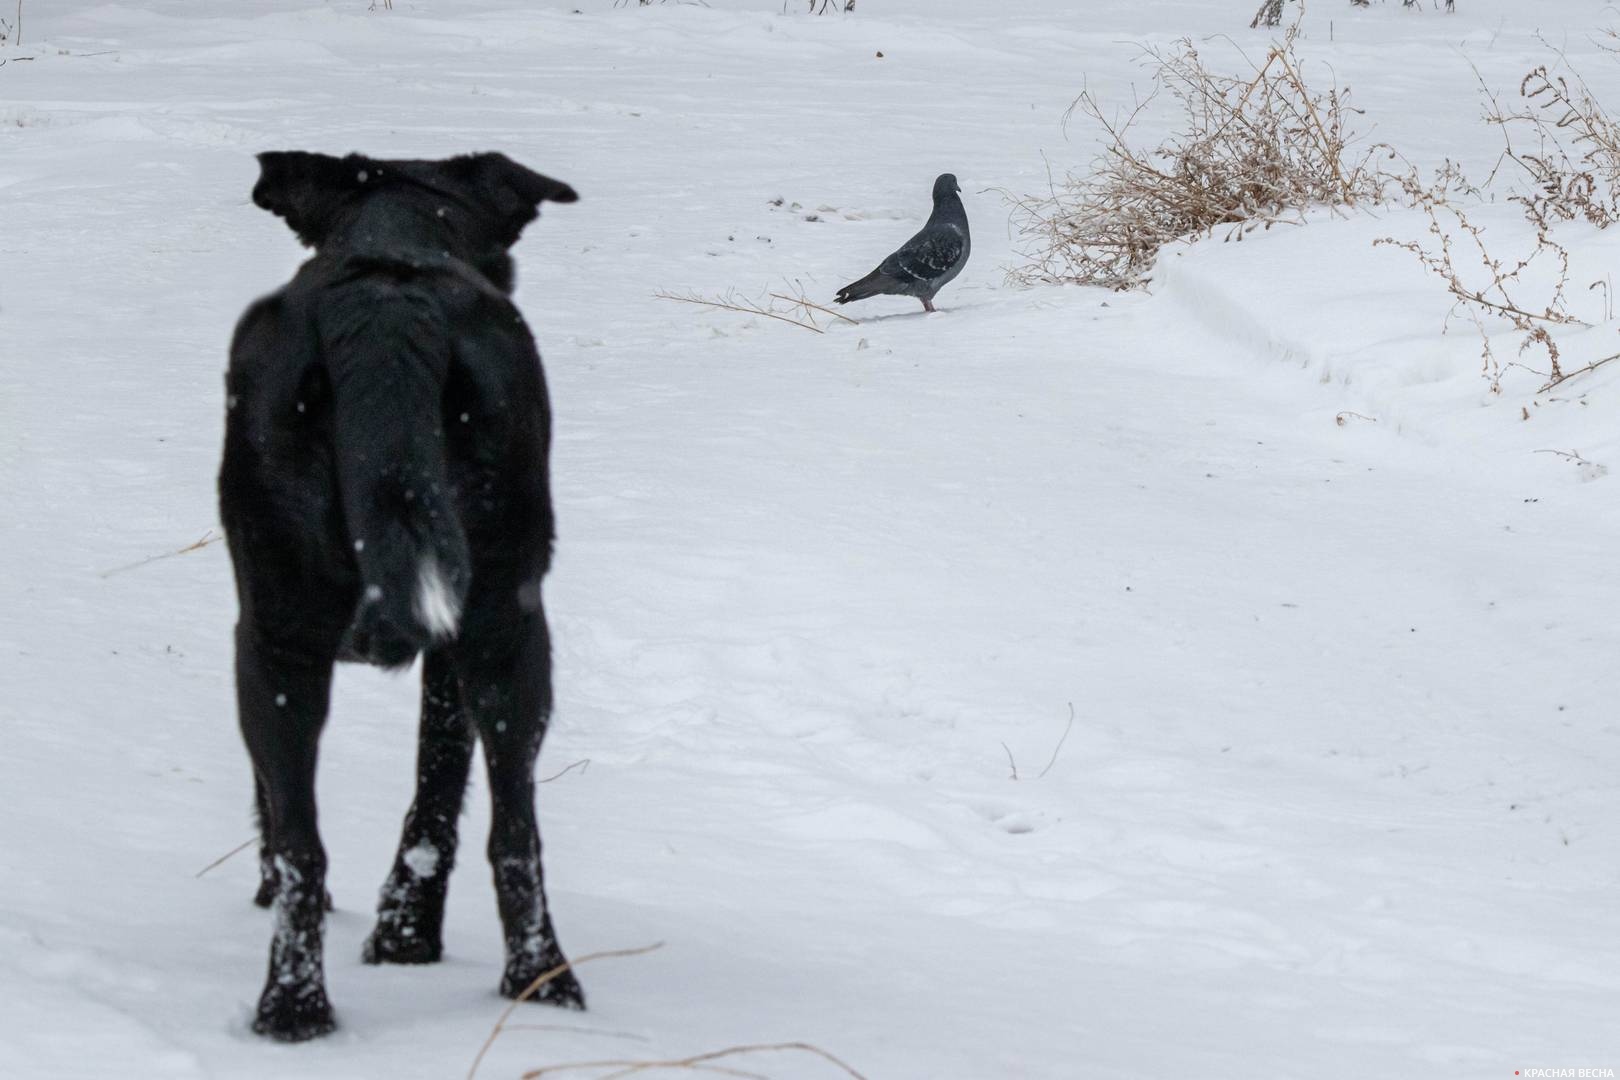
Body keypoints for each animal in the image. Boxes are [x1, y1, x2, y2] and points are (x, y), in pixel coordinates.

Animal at [218, 149, 579, 1036]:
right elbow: (435, 800)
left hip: (286, 637)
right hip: (502, 630)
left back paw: (298, 1007)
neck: (395, 237)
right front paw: (406, 936)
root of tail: (386, 312)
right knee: (511, 832)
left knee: (309, 843)